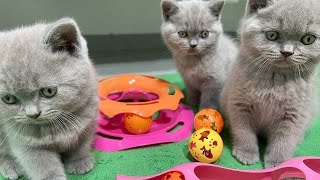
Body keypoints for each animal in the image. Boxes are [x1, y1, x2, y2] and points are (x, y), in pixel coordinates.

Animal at [0, 17, 99, 179]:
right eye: (8, 98)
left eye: (48, 91)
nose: (33, 114)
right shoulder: (24, 143)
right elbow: (43, 166)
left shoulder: (89, 122)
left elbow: (81, 144)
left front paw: (79, 161)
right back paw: (11, 166)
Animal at [221, 0, 320, 169]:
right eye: (272, 35)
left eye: (308, 39)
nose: (287, 52)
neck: (275, 80)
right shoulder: (239, 103)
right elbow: (243, 131)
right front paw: (246, 153)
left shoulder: (294, 114)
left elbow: (285, 140)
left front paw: (278, 162)